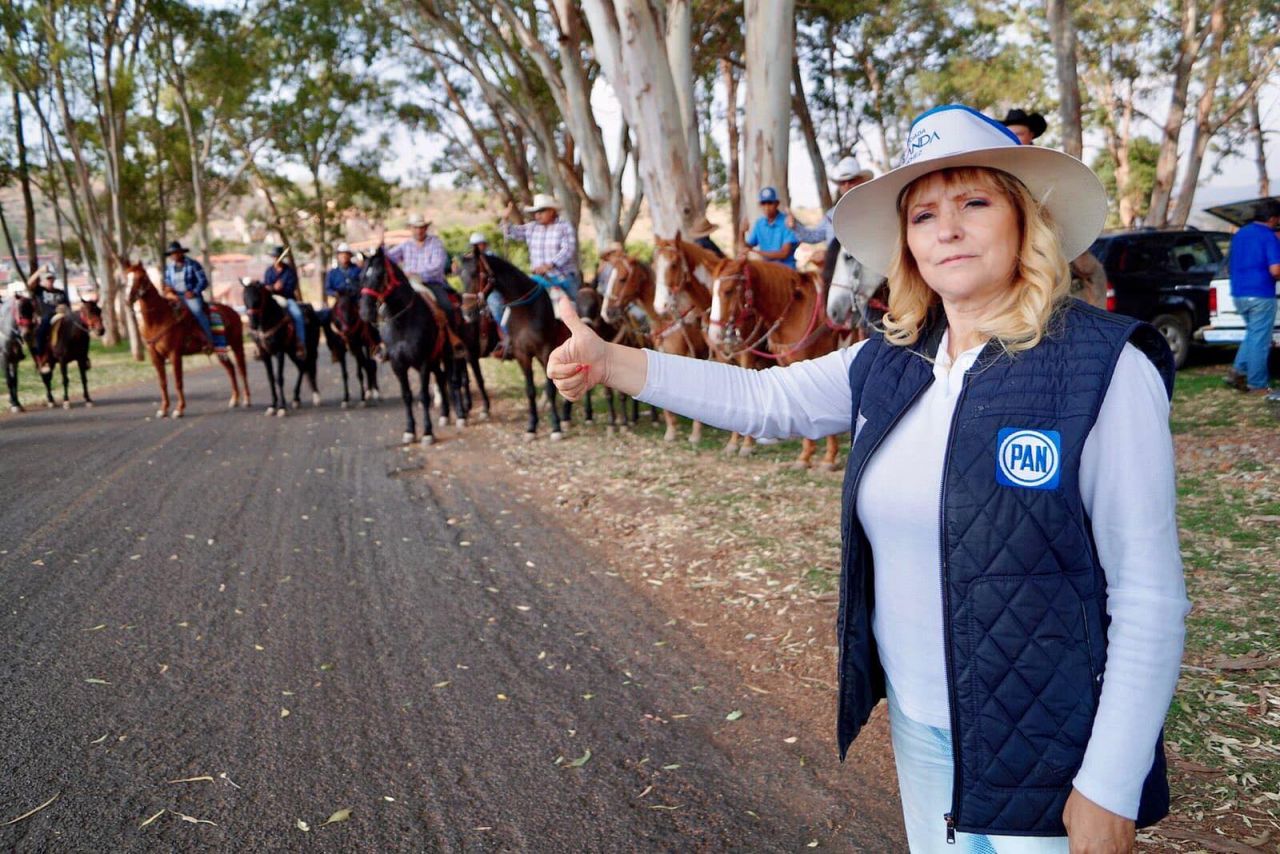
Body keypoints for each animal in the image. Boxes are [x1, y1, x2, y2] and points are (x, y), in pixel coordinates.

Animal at [124, 261, 252, 419]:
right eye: (126, 278)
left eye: (142, 278)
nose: (128, 299)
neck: (158, 320)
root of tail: (233, 312)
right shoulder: (156, 357)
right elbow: (162, 383)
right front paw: (163, 409)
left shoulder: (174, 354)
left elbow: (178, 382)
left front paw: (179, 409)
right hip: (219, 349)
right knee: (231, 369)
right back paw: (234, 399)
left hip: (237, 345)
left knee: (241, 369)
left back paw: (247, 400)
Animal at [240, 281, 320, 414]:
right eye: (244, 299)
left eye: (257, 300)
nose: (252, 324)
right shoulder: (265, 354)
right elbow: (271, 378)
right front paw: (272, 406)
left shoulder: (279, 352)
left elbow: (279, 378)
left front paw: (282, 408)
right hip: (292, 352)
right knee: (302, 368)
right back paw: (296, 399)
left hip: (310, 348)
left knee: (309, 367)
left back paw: (316, 396)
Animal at [358, 247, 463, 448]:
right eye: (361, 276)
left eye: (380, 275)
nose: (365, 312)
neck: (403, 321)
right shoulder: (398, 365)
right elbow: (406, 396)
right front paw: (409, 431)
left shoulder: (422, 362)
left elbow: (423, 396)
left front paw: (427, 433)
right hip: (434, 359)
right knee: (440, 379)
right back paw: (445, 415)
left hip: (447, 355)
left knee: (451, 381)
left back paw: (461, 416)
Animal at [455, 250, 565, 440]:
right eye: (461, 276)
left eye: (477, 274)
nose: (467, 313)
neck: (527, 312)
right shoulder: (522, 355)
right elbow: (530, 390)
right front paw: (531, 427)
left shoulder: (546, 352)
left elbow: (550, 388)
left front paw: (556, 427)